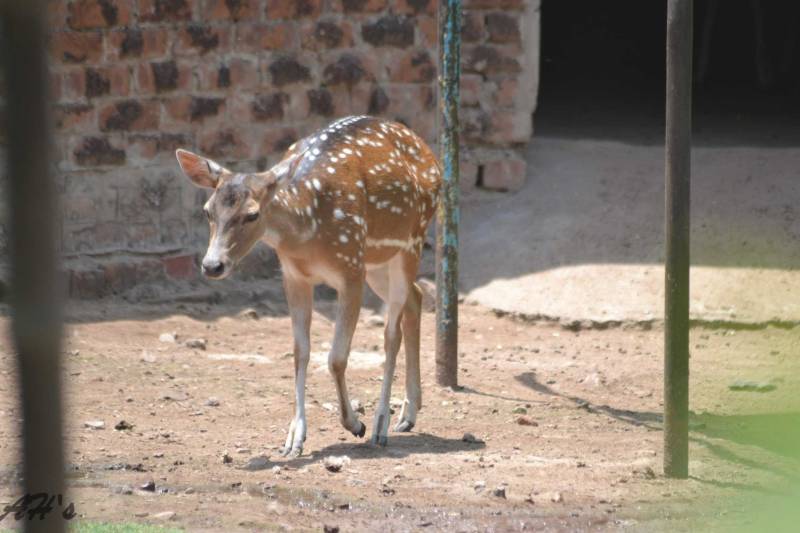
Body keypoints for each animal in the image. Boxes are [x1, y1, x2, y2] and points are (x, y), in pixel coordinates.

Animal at [173, 115, 444, 454]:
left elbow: (337, 357)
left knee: (391, 333)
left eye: (252, 214)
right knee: (416, 299)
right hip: (377, 261)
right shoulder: (293, 276)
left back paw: (382, 425)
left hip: (411, 242)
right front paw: (294, 437)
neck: (307, 233)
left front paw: (354, 424)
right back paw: (409, 413)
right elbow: (300, 351)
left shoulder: (350, 270)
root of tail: (431, 155)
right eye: (207, 211)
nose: (212, 265)